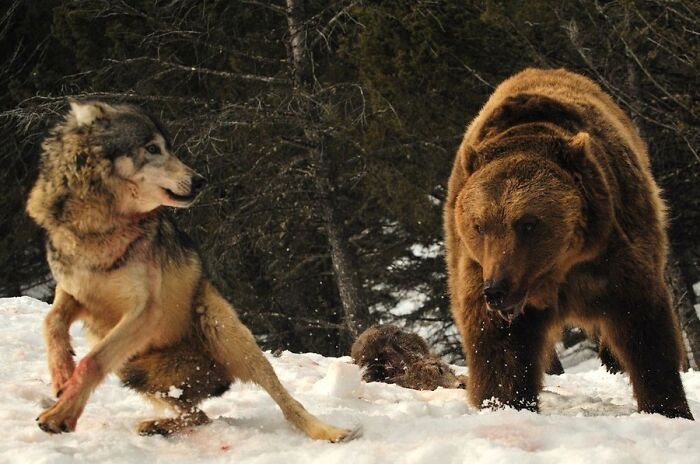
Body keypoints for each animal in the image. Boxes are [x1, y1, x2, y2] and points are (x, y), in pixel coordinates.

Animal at [27, 100, 356, 438]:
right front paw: (62, 376)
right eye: (153, 148)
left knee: (284, 402)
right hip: (134, 368)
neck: (99, 227)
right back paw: (156, 425)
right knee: (198, 415)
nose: (200, 180)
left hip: (225, 332)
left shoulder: (145, 310)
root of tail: (215, 377)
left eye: (168, 148)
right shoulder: (74, 292)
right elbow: (51, 322)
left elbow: (92, 362)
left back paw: (329, 432)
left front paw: (60, 414)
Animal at [446, 69, 692, 420]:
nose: (496, 290)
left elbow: (643, 327)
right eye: (479, 225)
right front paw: (504, 404)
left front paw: (668, 408)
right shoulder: (476, 267)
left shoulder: (615, 252)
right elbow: (500, 348)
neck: (557, 269)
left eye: (529, 223)